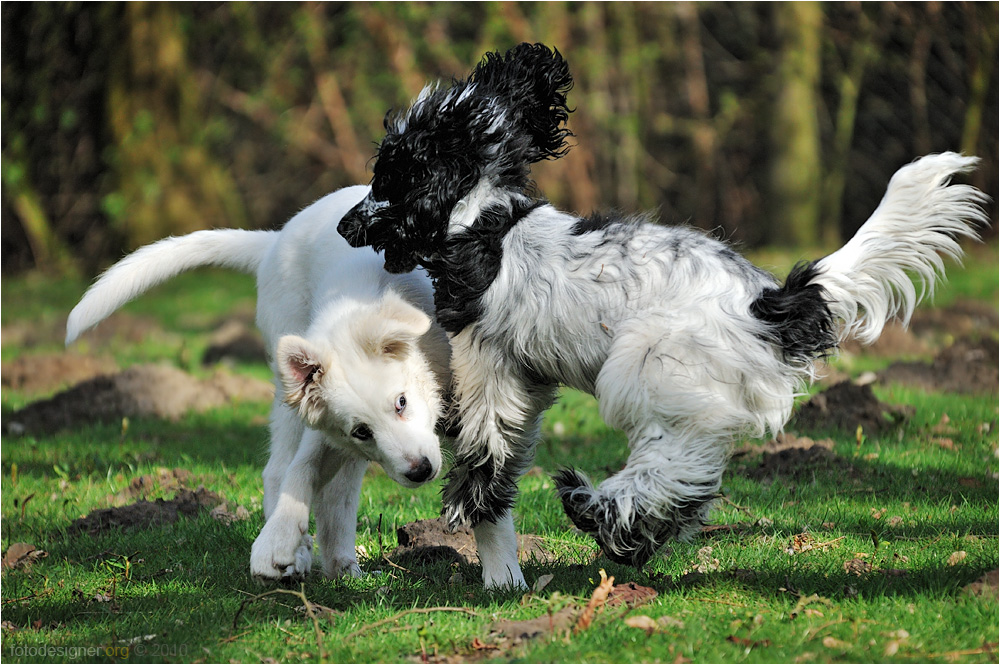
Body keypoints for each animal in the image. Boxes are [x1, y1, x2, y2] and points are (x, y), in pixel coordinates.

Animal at [65, 184, 450, 580]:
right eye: (362, 430)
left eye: (401, 402)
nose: (420, 472)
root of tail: (275, 239)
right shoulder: (330, 429)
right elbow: (302, 468)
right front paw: (278, 542)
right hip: (289, 390)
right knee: (283, 470)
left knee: (335, 493)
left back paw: (343, 567)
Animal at [338, 44, 992, 588]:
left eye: (389, 174)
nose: (346, 225)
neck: (480, 225)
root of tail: (771, 304)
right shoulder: (525, 374)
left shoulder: (490, 362)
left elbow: (486, 442)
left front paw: (468, 499)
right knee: (690, 478)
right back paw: (626, 526)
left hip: (653, 368)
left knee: (671, 464)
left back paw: (600, 508)